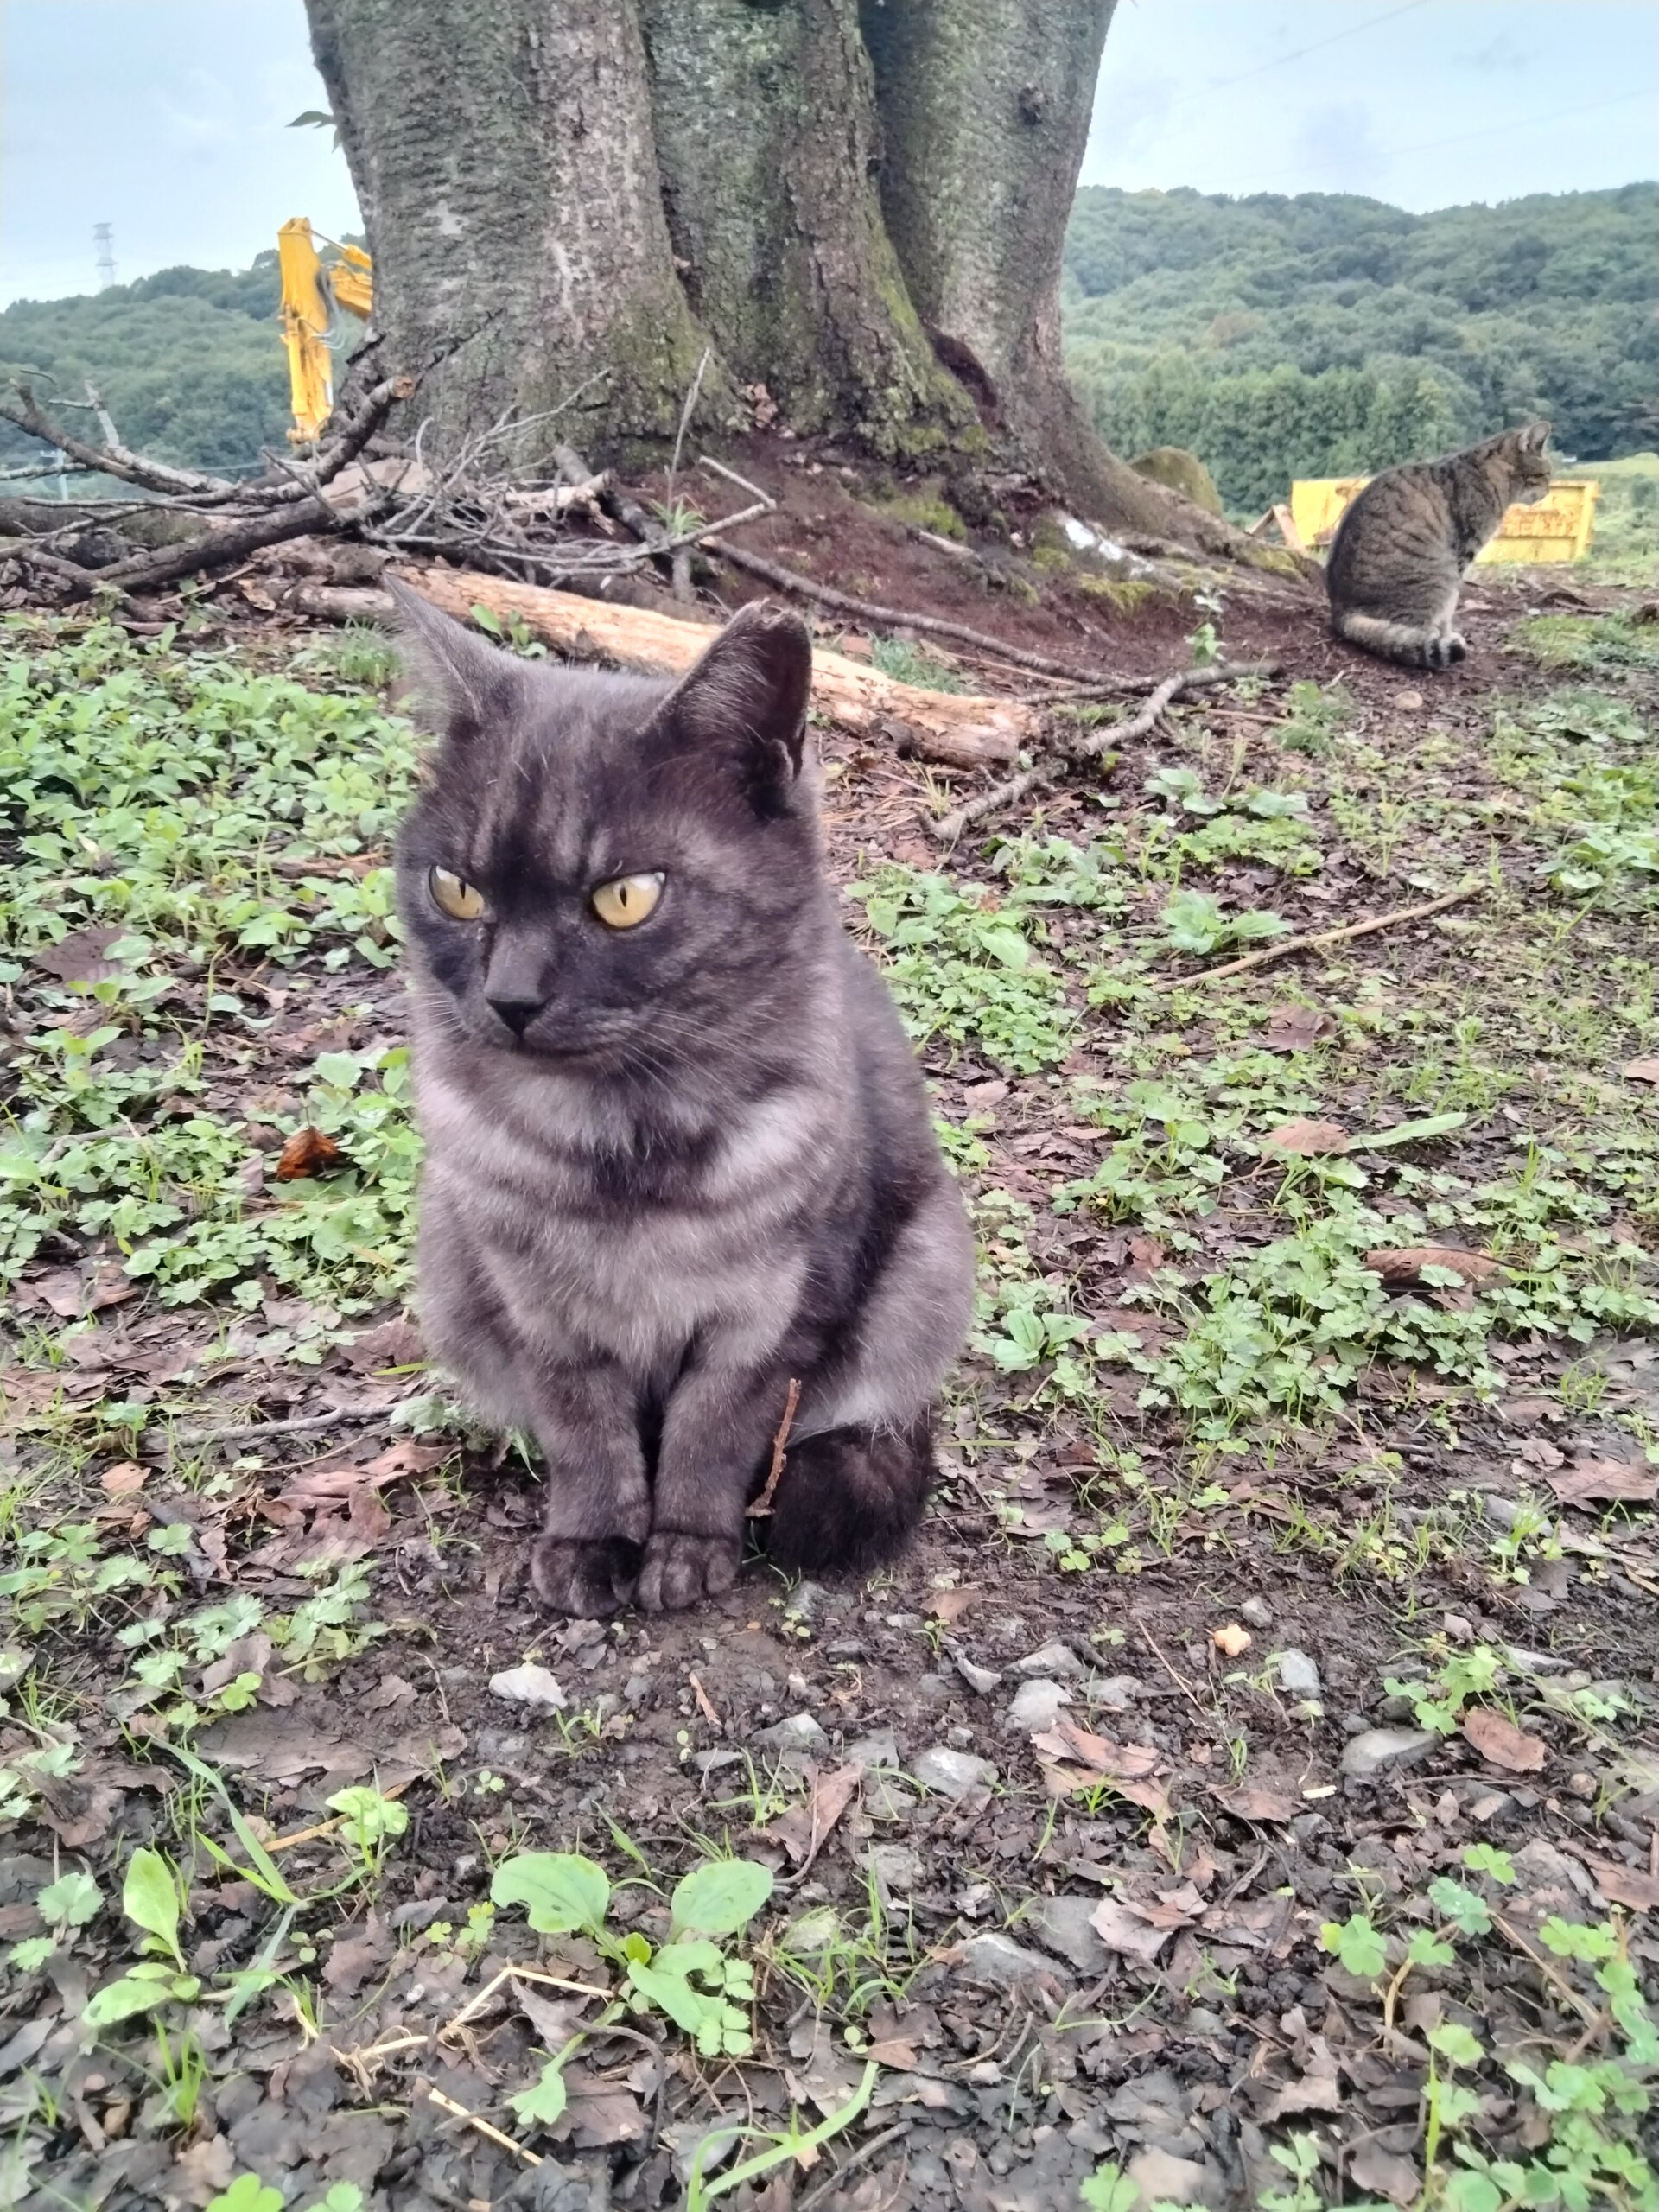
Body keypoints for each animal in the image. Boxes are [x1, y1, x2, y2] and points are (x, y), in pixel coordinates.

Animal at [393, 583, 973, 1628]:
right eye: (455, 888)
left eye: (626, 897)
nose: (509, 999)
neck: (624, 1148)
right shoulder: (540, 1313)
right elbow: (585, 1434)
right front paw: (591, 1545)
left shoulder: (770, 1318)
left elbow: (714, 1431)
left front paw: (690, 1549)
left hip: (927, 1269)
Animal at [1336, 422, 1557, 664]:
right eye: (1546, 474)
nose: (1548, 491)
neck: (1491, 475)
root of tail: (1342, 613)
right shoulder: (1463, 554)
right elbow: (1449, 608)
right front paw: (1446, 636)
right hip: (1437, 574)